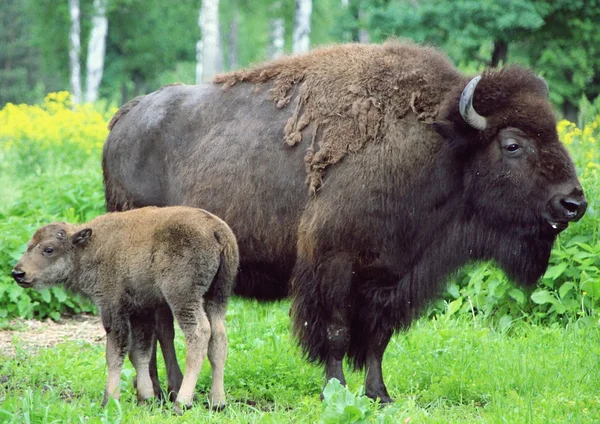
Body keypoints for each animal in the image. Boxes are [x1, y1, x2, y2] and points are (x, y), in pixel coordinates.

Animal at [9, 207, 239, 412]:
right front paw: (145, 398)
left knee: (199, 333)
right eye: (29, 245)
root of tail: (216, 229)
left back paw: (182, 403)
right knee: (218, 337)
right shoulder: (141, 310)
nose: (18, 273)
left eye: (48, 249)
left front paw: (109, 401)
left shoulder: (113, 308)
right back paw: (217, 402)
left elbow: (115, 354)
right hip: (216, 297)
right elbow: (139, 353)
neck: (88, 246)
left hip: (183, 298)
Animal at [102, 41, 584, 402]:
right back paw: (163, 392)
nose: (574, 203)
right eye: (513, 144)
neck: (438, 147)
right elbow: (335, 333)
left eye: (554, 132)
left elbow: (376, 339)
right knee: (160, 326)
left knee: (160, 324)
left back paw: (165, 390)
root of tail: (124, 119)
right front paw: (335, 390)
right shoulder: (333, 266)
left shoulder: (389, 275)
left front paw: (379, 394)